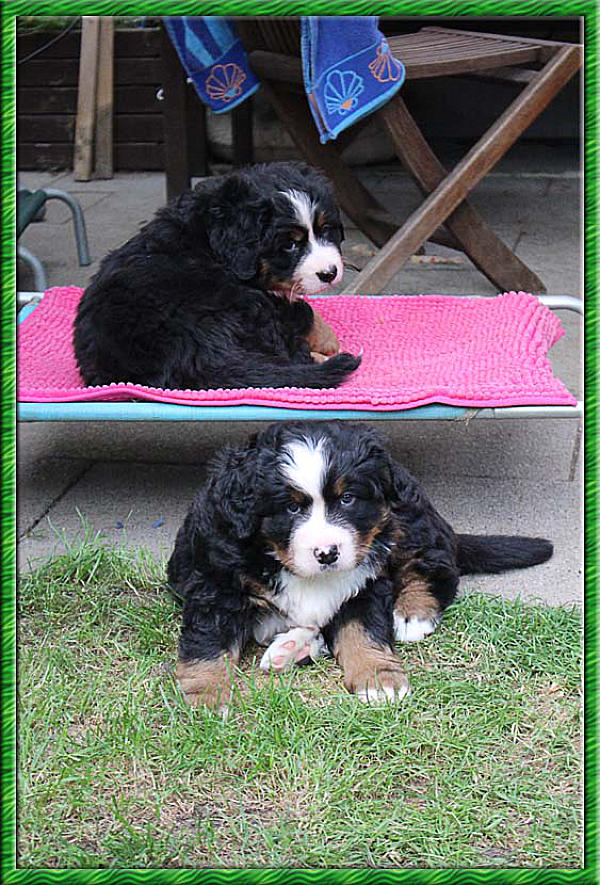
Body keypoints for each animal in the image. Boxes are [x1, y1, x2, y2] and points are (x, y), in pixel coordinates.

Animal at [73, 162, 361, 390]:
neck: (207, 236)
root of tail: (190, 357)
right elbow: (303, 311)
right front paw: (327, 341)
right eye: (289, 244)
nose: (329, 273)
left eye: (326, 229)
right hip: (243, 305)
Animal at [167, 422, 553, 711]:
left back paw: (413, 613)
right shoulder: (216, 583)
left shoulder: (365, 583)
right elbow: (207, 643)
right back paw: (291, 648)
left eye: (348, 499)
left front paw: (377, 677)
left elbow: (362, 630)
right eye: (291, 508)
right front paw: (210, 694)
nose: (327, 553)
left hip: (403, 516)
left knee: (436, 562)